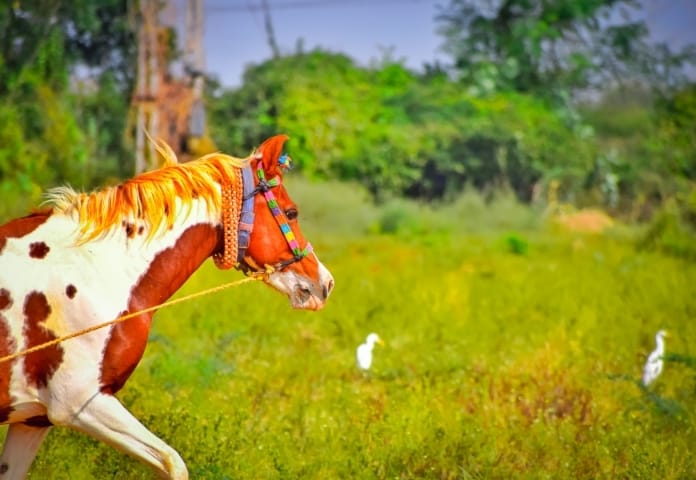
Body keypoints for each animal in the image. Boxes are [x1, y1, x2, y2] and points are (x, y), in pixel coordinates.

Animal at [0, 134, 334, 479]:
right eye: (292, 213)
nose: (324, 283)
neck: (93, 269)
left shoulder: (33, 420)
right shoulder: (77, 402)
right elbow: (173, 462)